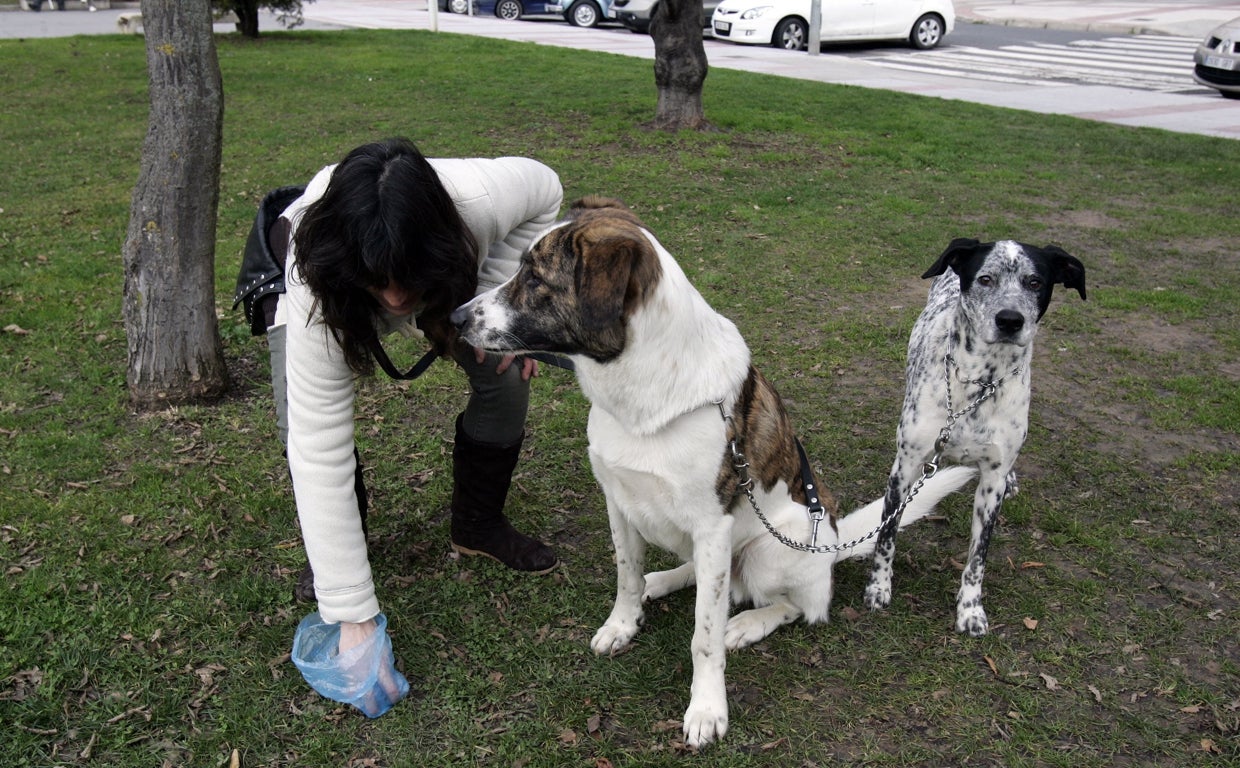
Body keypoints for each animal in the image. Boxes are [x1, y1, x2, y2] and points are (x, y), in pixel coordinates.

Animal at [451, 198, 972, 744]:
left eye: (535, 278)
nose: (455, 317)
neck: (642, 390)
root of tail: (831, 543)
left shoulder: (714, 525)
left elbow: (705, 637)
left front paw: (706, 707)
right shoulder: (619, 502)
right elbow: (626, 575)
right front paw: (623, 623)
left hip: (770, 549)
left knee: (800, 606)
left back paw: (747, 623)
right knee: (708, 580)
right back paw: (665, 580)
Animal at [863, 239, 1086, 635]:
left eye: (1035, 282)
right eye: (985, 279)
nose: (1010, 320)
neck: (981, 380)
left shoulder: (991, 484)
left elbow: (978, 557)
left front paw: (970, 609)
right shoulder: (904, 468)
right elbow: (887, 536)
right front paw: (879, 587)